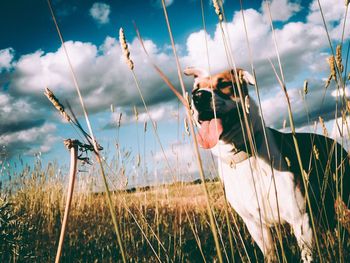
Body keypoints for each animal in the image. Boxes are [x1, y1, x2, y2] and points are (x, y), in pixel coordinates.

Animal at [185, 67, 348, 262]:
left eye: (224, 84)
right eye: (195, 89)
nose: (198, 96)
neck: (244, 154)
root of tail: (335, 143)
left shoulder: (300, 220)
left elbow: (307, 255)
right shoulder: (256, 226)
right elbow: (270, 254)